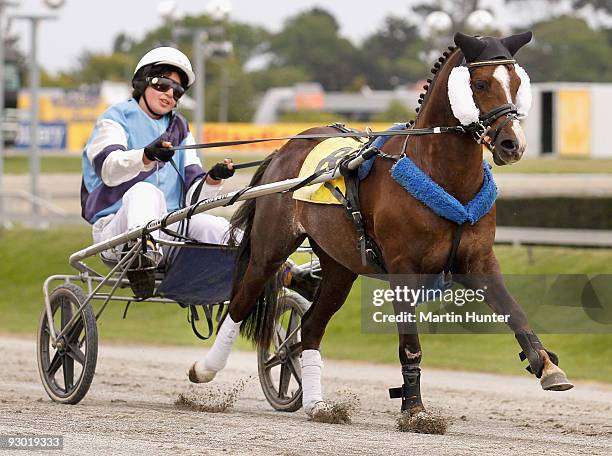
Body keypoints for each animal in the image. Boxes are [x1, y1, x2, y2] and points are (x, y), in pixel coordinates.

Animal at [188, 32, 572, 424]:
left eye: (517, 83)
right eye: (480, 84)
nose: (513, 144)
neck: (443, 177)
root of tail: (286, 148)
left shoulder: (477, 262)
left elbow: (516, 312)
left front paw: (547, 366)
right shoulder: (403, 267)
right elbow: (410, 345)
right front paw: (414, 408)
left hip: (339, 267)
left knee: (310, 327)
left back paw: (316, 403)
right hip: (270, 248)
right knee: (240, 303)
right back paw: (205, 370)